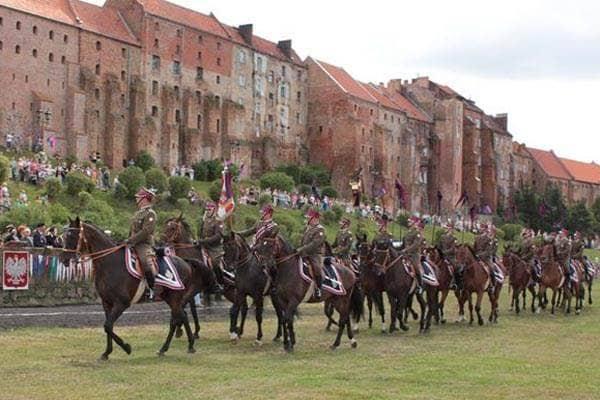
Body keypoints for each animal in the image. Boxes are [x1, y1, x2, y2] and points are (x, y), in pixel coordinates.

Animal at [61, 219, 219, 360]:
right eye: (64, 237)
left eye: (73, 236)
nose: (64, 259)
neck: (110, 263)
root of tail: (185, 262)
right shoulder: (107, 303)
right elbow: (108, 327)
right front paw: (106, 353)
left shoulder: (122, 303)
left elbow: (108, 326)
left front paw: (126, 348)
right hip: (170, 298)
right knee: (182, 316)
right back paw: (181, 346)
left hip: (175, 297)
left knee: (178, 318)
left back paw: (174, 346)